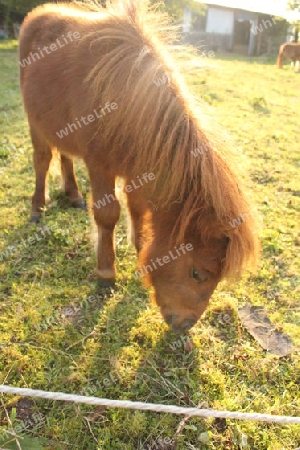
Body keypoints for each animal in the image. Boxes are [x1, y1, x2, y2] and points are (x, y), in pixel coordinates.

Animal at [18, 0, 258, 330]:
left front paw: (140, 247)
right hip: (36, 125)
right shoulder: (101, 166)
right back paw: (37, 208)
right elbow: (108, 215)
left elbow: (138, 209)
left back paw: (74, 195)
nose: (185, 325)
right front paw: (106, 273)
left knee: (65, 157)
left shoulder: (138, 170)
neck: (128, 102)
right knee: (42, 162)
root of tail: (39, 13)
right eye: (198, 273)